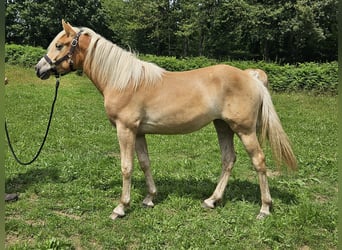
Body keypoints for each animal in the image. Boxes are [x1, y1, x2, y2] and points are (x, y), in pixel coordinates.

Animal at [35, 20, 296, 220]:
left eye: (59, 45)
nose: (39, 69)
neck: (123, 81)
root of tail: (250, 76)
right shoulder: (139, 132)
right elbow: (144, 163)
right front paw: (149, 198)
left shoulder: (125, 129)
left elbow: (126, 167)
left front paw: (121, 207)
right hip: (223, 126)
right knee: (228, 159)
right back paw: (212, 200)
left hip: (245, 130)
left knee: (259, 161)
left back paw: (264, 209)